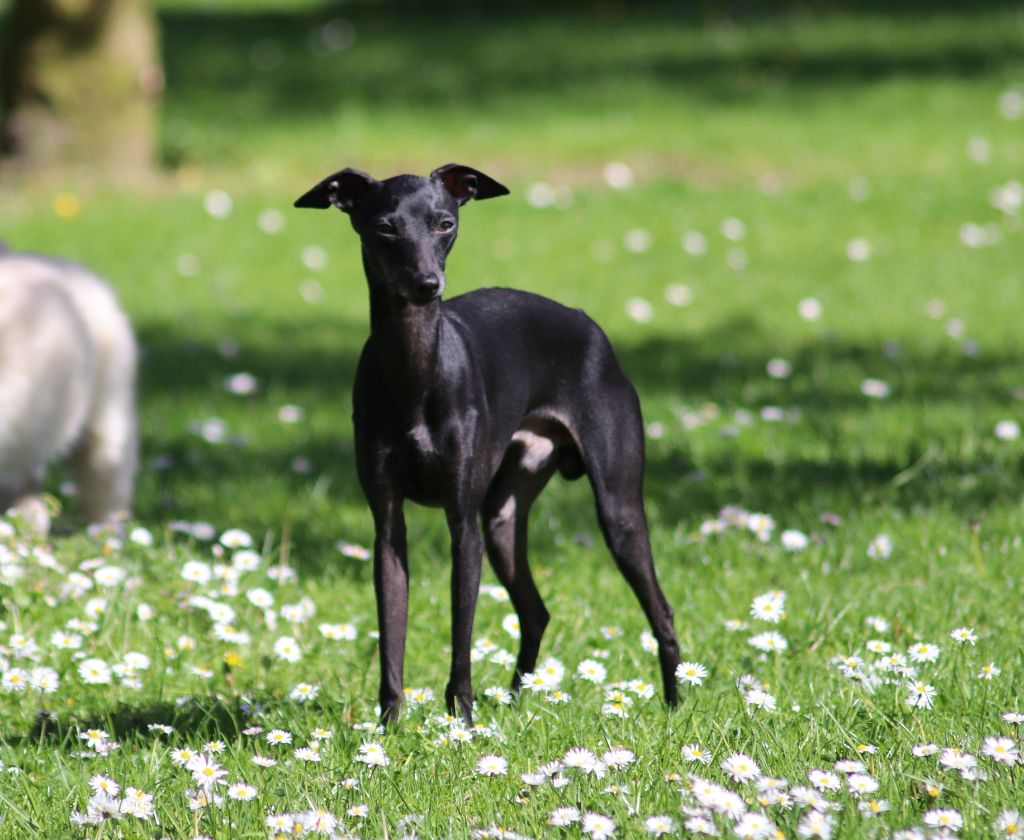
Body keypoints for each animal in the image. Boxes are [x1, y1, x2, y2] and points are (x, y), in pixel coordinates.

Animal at [296, 165, 679, 721]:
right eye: (385, 227)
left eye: (444, 223)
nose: (427, 285)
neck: (416, 370)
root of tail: (588, 325)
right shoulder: (388, 528)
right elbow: (391, 637)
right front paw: (388, 727)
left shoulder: (463, 527)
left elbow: (462, 635)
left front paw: (463, 720)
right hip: (502, 517)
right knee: (536, 612)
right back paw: (518, 701)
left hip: (617, 509)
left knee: (661, 609)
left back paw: (675, 704)